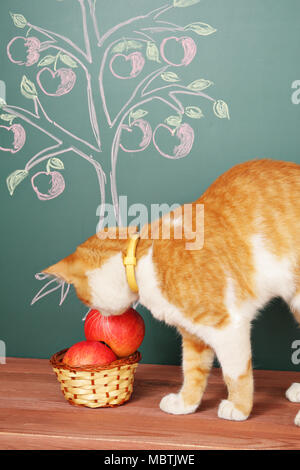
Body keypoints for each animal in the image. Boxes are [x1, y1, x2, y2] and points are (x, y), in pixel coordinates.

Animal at [44, 159, 300, 426]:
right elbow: (192, 370)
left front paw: (239, 408)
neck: (141, 259)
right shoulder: (193, 334)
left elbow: (235, 372)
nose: (98, 315)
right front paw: (186, 403)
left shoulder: (228, 326)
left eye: (84, 300)